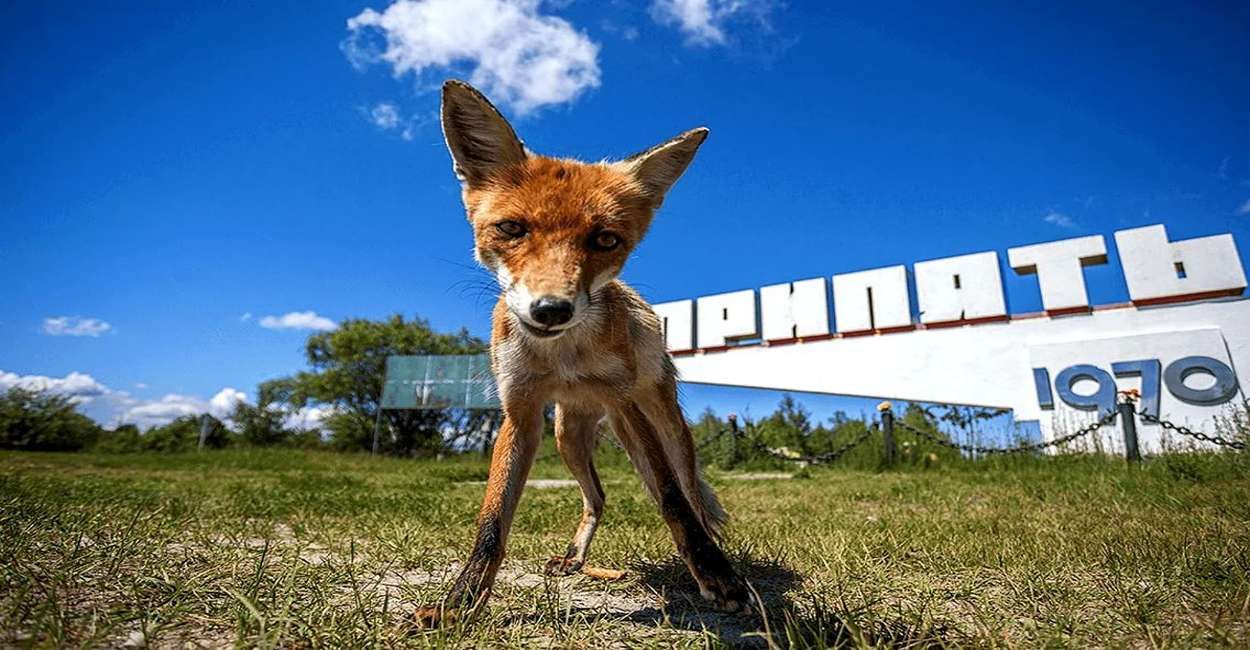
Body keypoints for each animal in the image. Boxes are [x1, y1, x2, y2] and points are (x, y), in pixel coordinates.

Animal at [417, 78, 750, 627]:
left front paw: (717, 576)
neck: (563, 359)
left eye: (606, 239)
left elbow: (672, 501)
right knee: (598, 496)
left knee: (690, 493)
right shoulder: (521, 411)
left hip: (660, 423)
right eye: (512, 229)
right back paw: (575, 559)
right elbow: (492, 521)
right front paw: (460, 602)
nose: (552, 309)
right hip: (566, 437)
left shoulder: (623, 401)